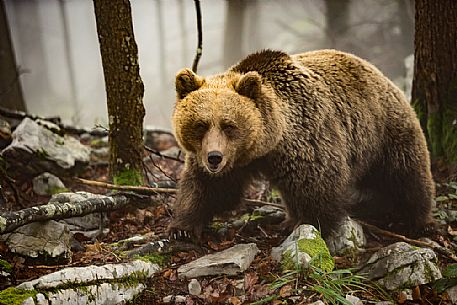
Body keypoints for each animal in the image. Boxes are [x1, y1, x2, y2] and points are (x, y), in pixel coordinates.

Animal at [168, 49, 434, 238]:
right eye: (200, 125)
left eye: (228, 125)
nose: (214, 157)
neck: (267, 143)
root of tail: (381, 74)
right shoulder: (232, 161)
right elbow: (209, 188)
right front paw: (182, 227)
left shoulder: (306, 138)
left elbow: (317, 185)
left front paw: (312, 224)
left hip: (385, 130)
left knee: (405, 174)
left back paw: (418, 221)